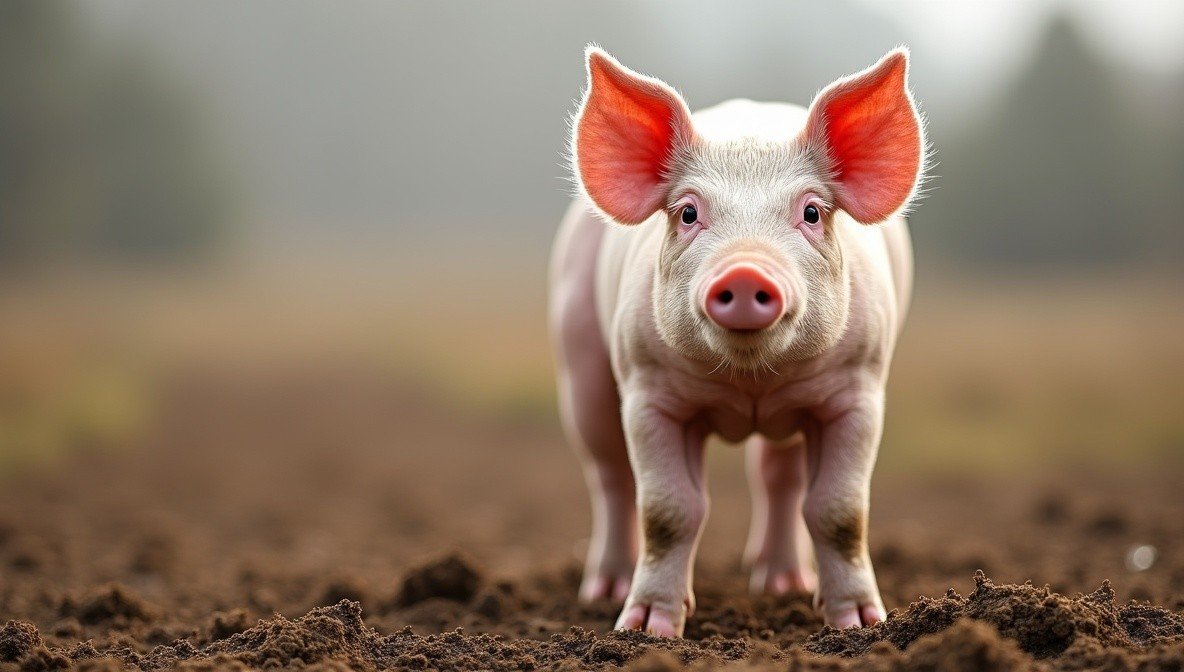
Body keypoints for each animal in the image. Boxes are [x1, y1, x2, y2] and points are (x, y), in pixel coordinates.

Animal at [549, 46, 925, 637]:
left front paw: (860, 626)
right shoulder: (647, 390)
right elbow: (668, 510)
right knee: (609, 476)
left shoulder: (858, 390)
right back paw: (602, 591)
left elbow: (839, 510)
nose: (746, 271)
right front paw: (644, 630)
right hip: (580, 360)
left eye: (812, 212)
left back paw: (781, 584)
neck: (749, 384)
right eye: (688, 212)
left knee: (778, 478)